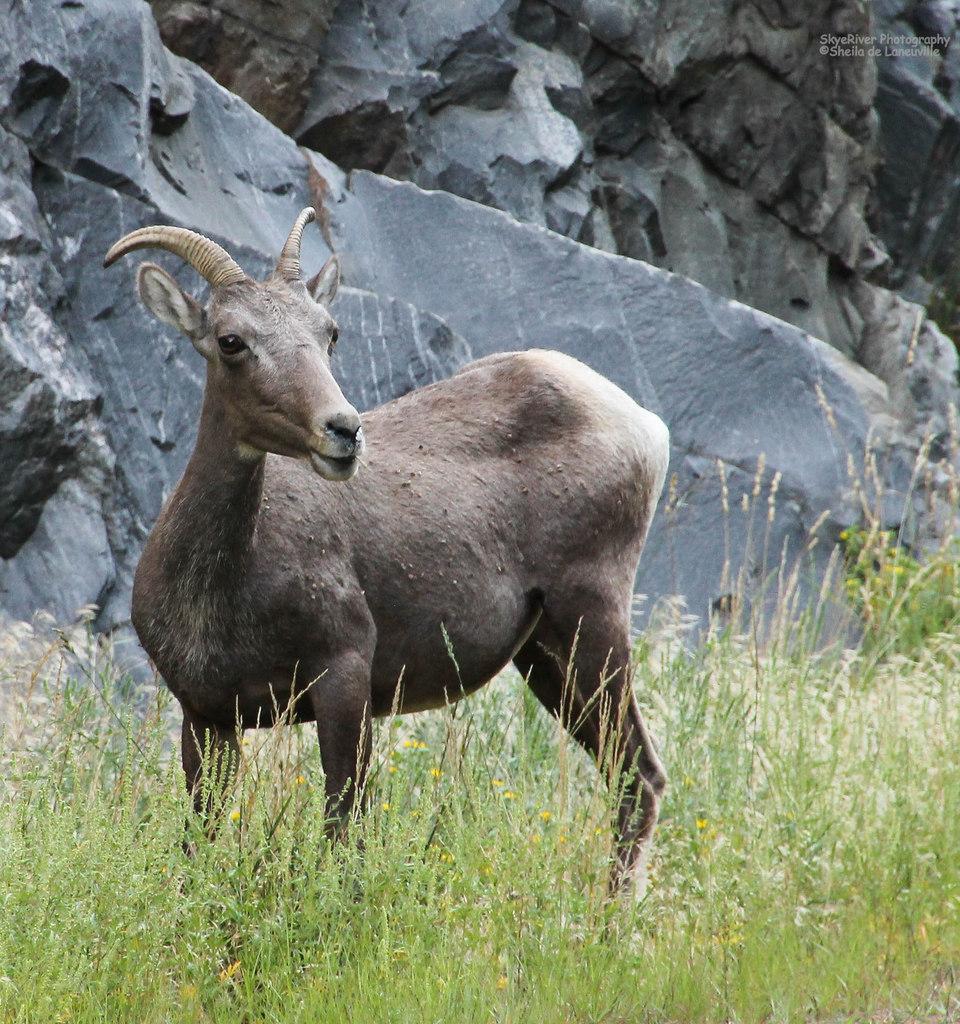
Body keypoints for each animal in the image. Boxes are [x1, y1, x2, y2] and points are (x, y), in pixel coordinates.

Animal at [103, 208, 670, 894]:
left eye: (329, 333)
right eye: (231, 340)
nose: (343, 430)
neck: (223, 590)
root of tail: (645, 425)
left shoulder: (344, 678)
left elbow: (343, 829)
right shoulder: (206, 715)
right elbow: (200, 840)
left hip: (594, 619)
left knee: (641, 775)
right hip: (543, 652)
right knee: (626, 774)